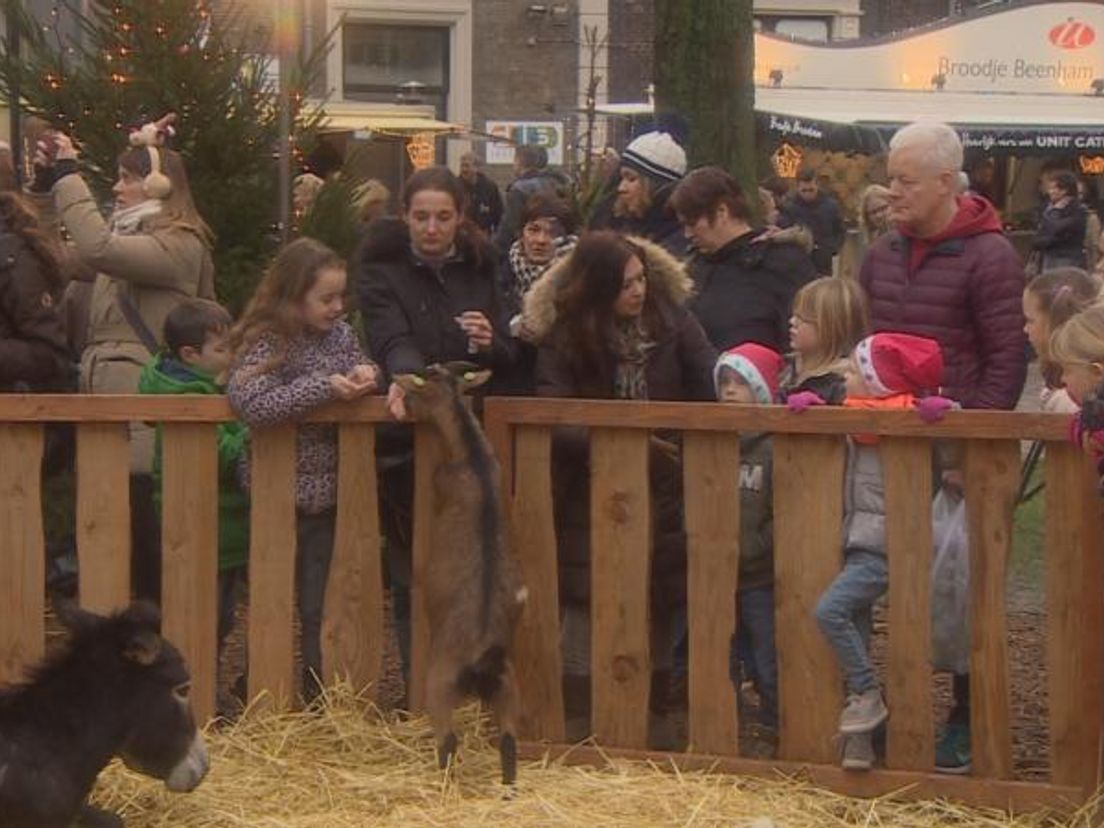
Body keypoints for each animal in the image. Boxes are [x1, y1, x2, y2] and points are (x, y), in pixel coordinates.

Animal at [395, 362, 527, 786]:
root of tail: (482, 657)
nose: (403, 400)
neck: (473, 455)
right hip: (508, 688)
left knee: (448, 742)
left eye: (419, 389)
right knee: (508, 742)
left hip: (439, 683)